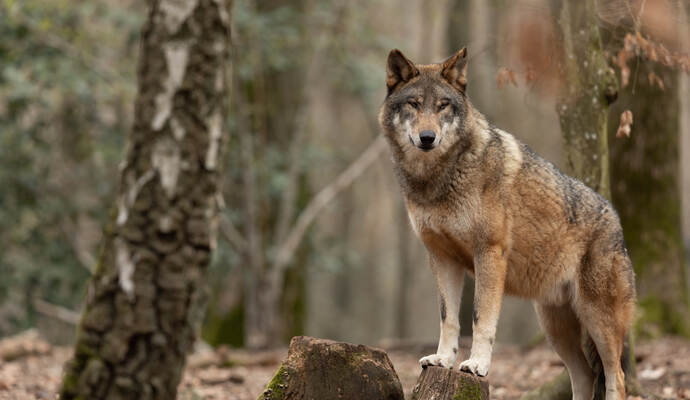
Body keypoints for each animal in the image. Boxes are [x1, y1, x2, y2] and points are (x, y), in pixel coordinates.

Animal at [378, 47, 636, 400]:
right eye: (414, 104)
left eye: (442, 105)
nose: (427, 138)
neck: (438, 179)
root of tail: (616, 219)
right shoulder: (442, 258)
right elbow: (449, 318)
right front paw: (443, 360)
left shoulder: (489, 253)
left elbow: (480, 318)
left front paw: (477, 365)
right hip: (555, 328)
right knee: (584, 376)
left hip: (598, 321)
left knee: (616, 377)